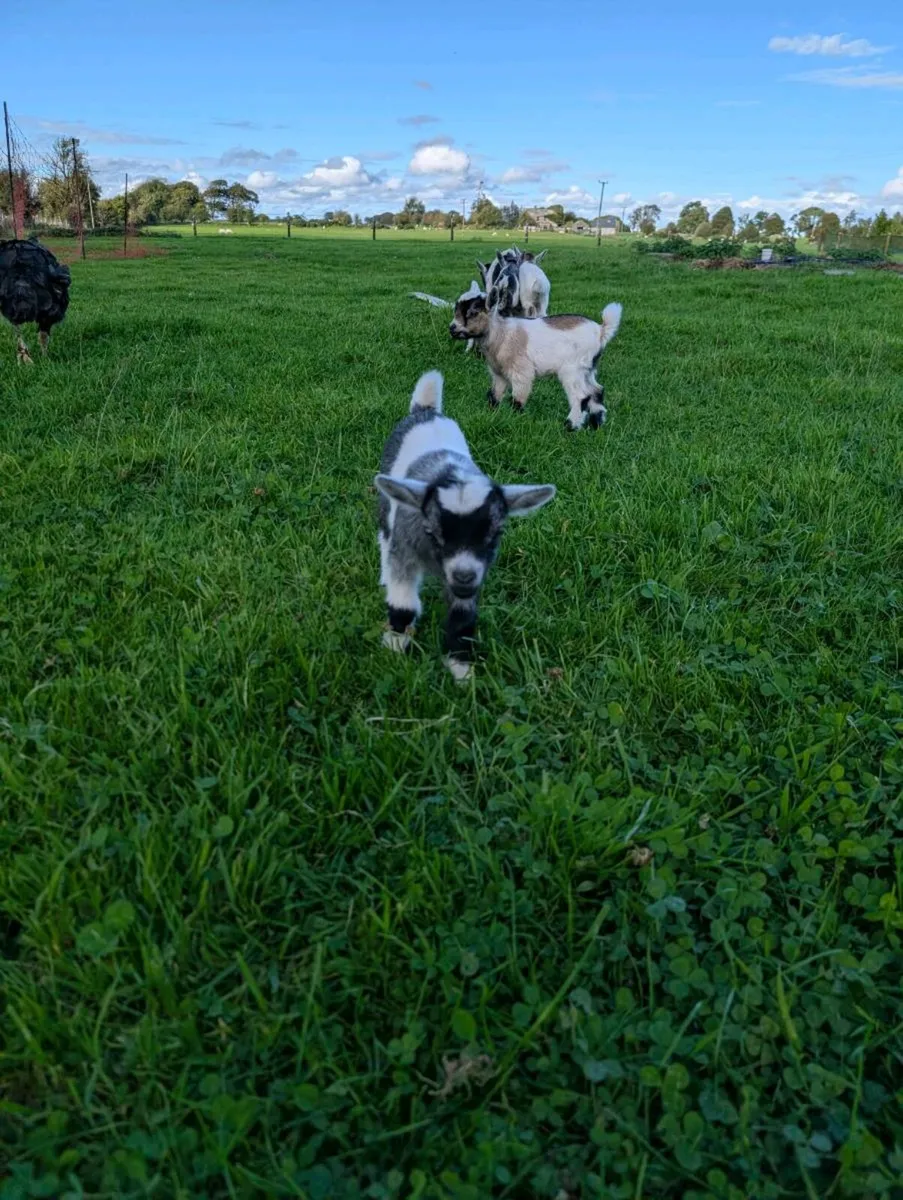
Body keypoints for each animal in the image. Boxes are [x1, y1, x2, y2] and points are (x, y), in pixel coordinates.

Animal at [375, 370, 555, 680]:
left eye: (496, 533)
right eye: (432, 531)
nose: (463, 577)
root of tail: (426, 411)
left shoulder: (476, 572)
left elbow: (462, 617)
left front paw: (461, 670)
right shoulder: (407, 547)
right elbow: (403, 603)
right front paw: (396, 646)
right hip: (389, 497)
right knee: (385, 535)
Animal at [449, 294, 623, 431]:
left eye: (473, 313)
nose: (452, 328)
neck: (501, 334)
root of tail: (601, 331)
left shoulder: (521, 370)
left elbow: (518, 397)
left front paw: (514, 419)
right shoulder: (499, 374)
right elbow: (494, 395)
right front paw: (491, 414)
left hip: (572, 369)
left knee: (581, 396)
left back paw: (570, 426)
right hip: (588, 368)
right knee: (596, 390)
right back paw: (596, 424)